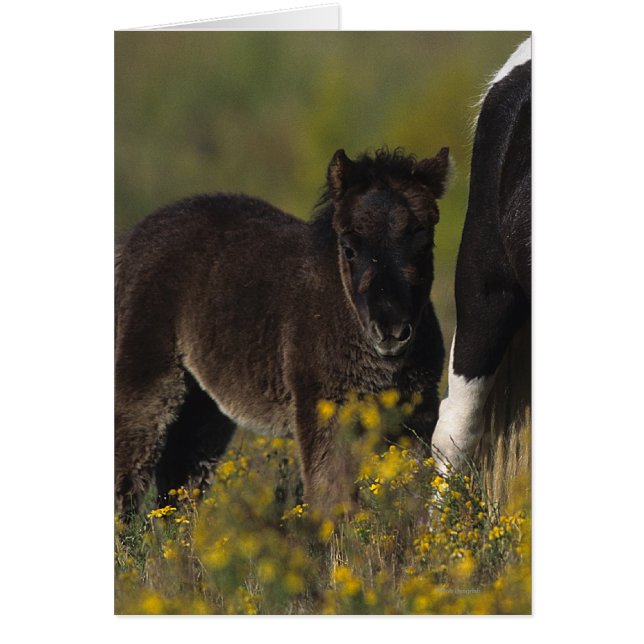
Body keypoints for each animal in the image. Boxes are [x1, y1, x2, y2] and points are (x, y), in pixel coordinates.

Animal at [115, 147, 451, 516]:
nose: (391, 329)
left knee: (182, 480)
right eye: (349, 248)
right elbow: (331, 496)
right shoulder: (322, 410)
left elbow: (414, 493)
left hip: (203, 404)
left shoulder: (414, 415)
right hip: (147, 380)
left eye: (425, 244)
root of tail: (134, 236)